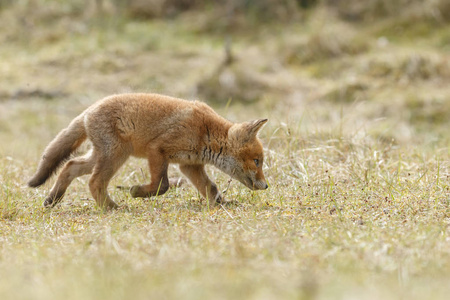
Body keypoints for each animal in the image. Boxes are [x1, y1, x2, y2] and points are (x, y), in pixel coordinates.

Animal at [28, 93, 268, 209]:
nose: (266, 186)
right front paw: (137, 192)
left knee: (70, 165)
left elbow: (211, 188)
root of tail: (89, 110)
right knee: (94, 182)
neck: (205, 131)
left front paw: (223, 205)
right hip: (116, 155)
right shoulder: (158, 150)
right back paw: (111, 207)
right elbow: (162, 185)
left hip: (102, 155)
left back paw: (53, 199)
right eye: (257, 161)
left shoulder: (189, 165)